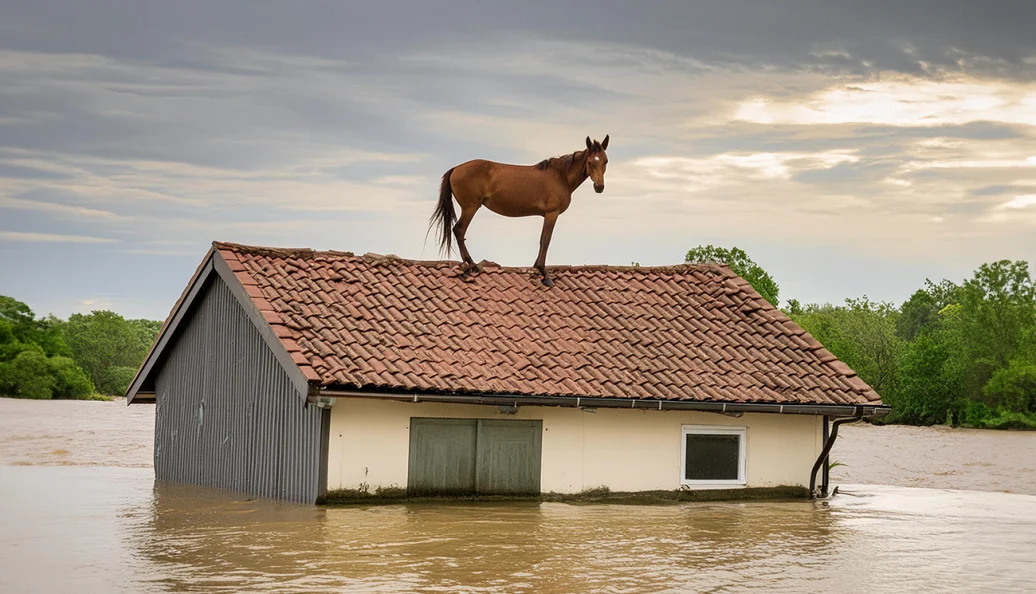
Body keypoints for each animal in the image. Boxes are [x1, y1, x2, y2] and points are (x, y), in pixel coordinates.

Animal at [428, 135, 610, 287]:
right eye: (591, 162)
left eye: (606, 161)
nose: (599, 187)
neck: (560, 176)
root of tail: (456, 168)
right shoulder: (552, 213)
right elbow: (545, 239)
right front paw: (544, 274)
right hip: (470, 207)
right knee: (459, 230)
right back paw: (472, 266)